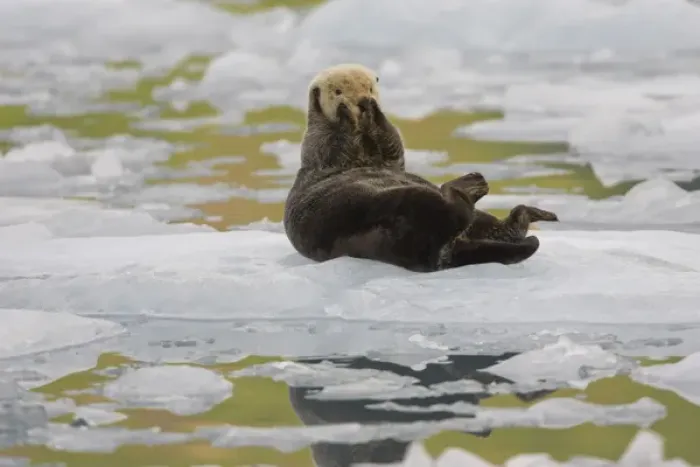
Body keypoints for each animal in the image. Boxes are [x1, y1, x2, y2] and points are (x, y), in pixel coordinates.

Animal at [284, 63, 553, 272]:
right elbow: (336, 145)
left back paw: (524, 214)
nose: (361, 101)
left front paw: (374, 111)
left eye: (369, 88)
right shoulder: (320, 144)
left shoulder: (390, 157)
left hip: (466, 222)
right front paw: (344, 113)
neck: (363, 141)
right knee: (455, 211)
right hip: (382, 205)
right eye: (338, 91)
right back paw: (472, 185)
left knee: (494, 228)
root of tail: (440, 252)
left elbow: (392, 142)